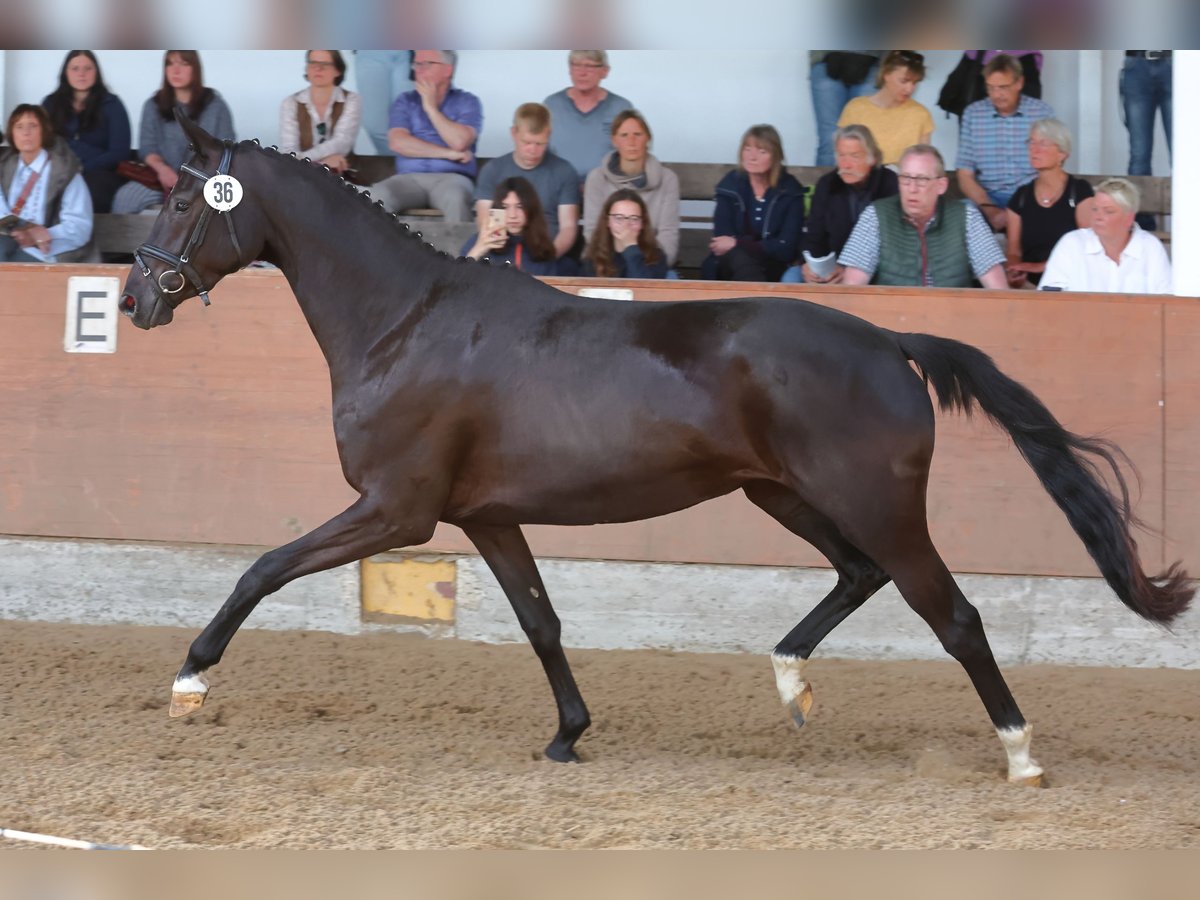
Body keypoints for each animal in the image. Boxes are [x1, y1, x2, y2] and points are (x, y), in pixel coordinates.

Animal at [119, 116, 1190, 787]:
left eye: (180, 205)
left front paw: (189, 683)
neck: (403, 322)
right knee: (860, 576)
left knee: (954, 615)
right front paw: (567, 737)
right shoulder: (485, 516)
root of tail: (892, 341)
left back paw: (1020, 755)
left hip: (872, 503)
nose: (133, 299)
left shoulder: (397, 509)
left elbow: (262, 568)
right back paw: (792, 684)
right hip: (783, 495)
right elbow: (541, 621)